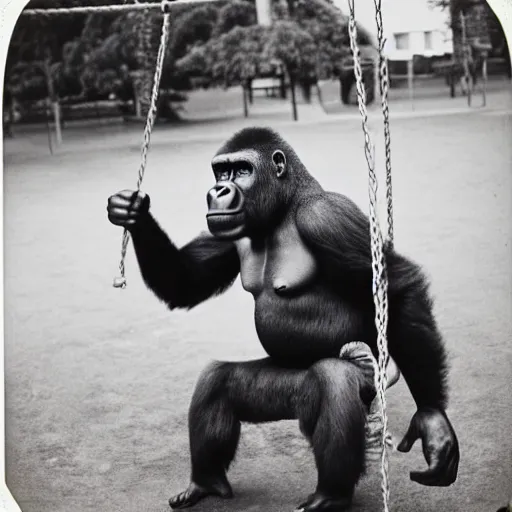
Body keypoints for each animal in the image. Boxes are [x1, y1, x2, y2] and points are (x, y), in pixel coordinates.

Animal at [107, 126, 460, 510]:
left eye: (242, 170)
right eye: (221, 172)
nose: (218, 190)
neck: (284, 208)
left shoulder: (328, 217)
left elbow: (396, 288)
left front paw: (432, 421)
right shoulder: (228, 232)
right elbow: (185, 283)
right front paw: (133, 213)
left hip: (369, 377)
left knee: (335, 380)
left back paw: (331, 494)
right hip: (283, 389)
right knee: (217, 380)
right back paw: (206, 481)